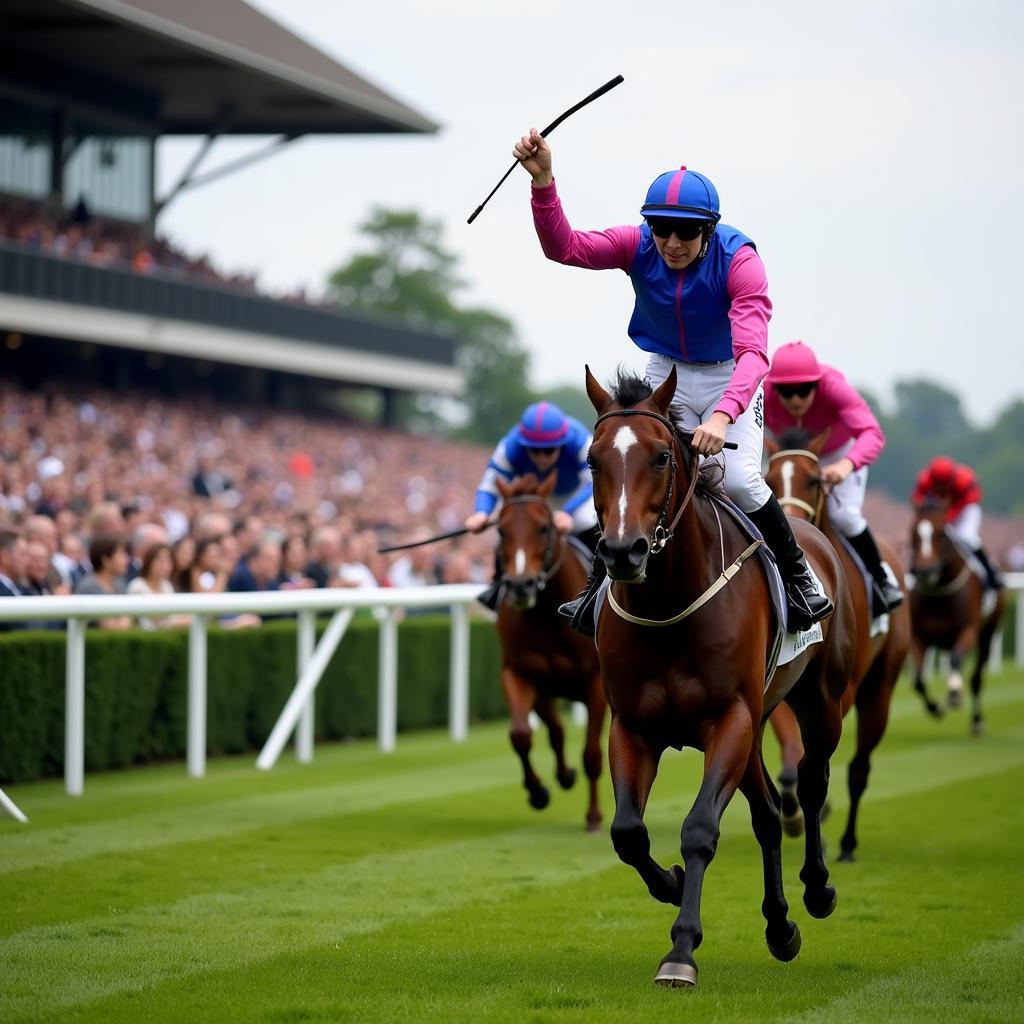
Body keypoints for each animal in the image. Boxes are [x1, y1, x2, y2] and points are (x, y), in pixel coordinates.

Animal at [489, 475, 602, 827]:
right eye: (501, 530)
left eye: (542, 528)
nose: (520, 585)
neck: (549, 618)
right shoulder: (522, 674)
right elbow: (521, 735)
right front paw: (539, 791)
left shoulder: (596, 684)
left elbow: (592, 754)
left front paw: (594, 816)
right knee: (556, 730)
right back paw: (563, 776)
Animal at [585, 366, 856, 983]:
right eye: (591, 460)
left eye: (661, 457)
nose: (621, 552)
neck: (669, 605)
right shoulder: (633, 726)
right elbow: (628, 832)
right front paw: (670, 883)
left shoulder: (729, 718)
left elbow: (700, 829)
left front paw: (681, 950)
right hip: (758, 726)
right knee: (768, 813)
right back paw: (780, 927)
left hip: (821, 701)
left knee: (811, 783)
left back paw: (818, 889)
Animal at [765, 428, 909, 860]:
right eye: (770, 478)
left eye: (814, 480)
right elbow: (792, 756)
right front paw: (793, 812)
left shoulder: (839, 691)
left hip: (879, 688)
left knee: (860, 766)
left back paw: (847, 842)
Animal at [909, 499, 1003, 733]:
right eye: (913, 532)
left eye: (941, 533)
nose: (925, 570)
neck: (939, 594)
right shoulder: (918, 636)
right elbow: (918, 679)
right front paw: (935, 707)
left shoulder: (968, 629)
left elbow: (956, 659)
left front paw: (954, 692)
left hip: (987, 633)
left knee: (976, 677)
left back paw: (977, 721)